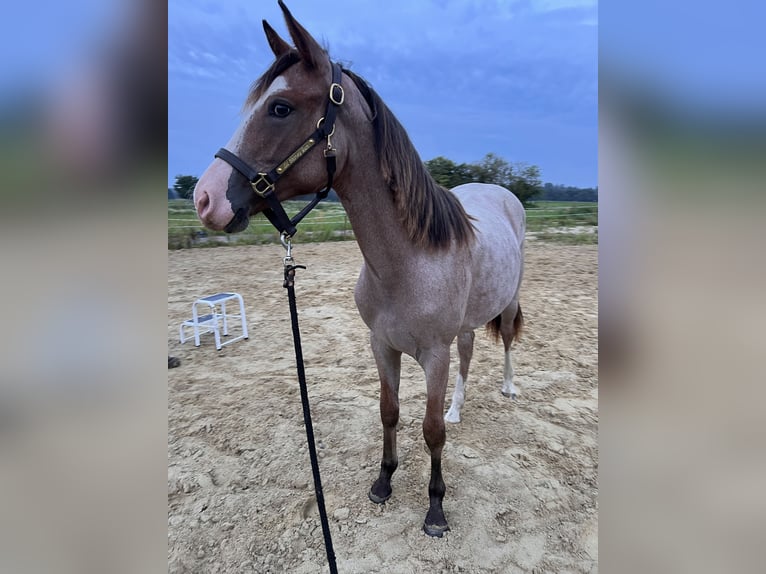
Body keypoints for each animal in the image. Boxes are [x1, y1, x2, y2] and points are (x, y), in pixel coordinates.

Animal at [193, 1, 525, 537]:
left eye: (279, 108)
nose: (204, 198)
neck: (407, 262)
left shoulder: (433, 356)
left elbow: (430, 430)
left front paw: (435, 508)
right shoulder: (381, 346)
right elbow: (389, 413)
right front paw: (384, 482)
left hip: (508, 302)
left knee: (509, 340)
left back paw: (510, 387)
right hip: (465, 326)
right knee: (469, 356)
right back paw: (458, 408)